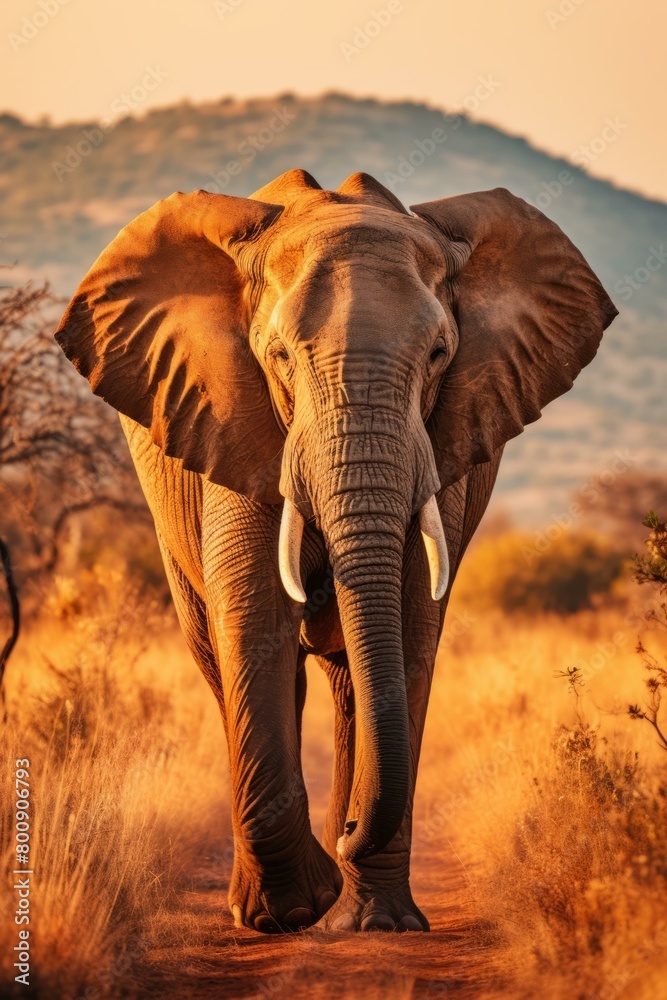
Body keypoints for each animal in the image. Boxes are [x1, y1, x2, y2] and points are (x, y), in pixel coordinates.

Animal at [55, 169, 617, 934]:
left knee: (354, 680)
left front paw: (377, 924)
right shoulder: (232, 416)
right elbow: (255, 618)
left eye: (439, 356)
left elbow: (408, 622)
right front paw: (286, 912)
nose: (349, 833)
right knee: (227, 659)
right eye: (279, 357)